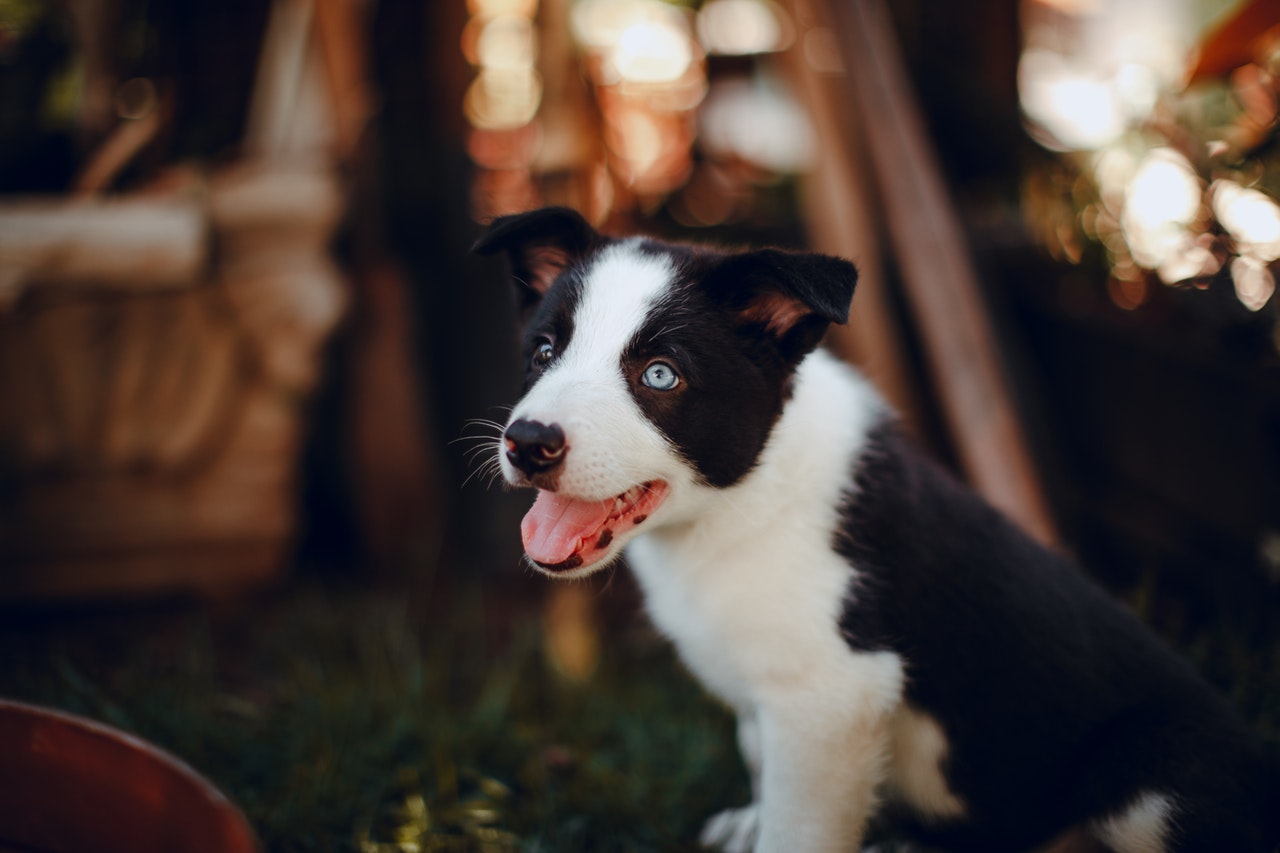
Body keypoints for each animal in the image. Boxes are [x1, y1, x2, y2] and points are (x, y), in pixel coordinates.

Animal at [473, 207, 1280, 850]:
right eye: (544, 351)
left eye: (661, 375)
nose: (528, 442)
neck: (736, 505)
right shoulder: (777, 697)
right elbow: (764, 762)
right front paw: (750, 823)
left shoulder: (834, 688)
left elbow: (799, 827)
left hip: (1153, 772)